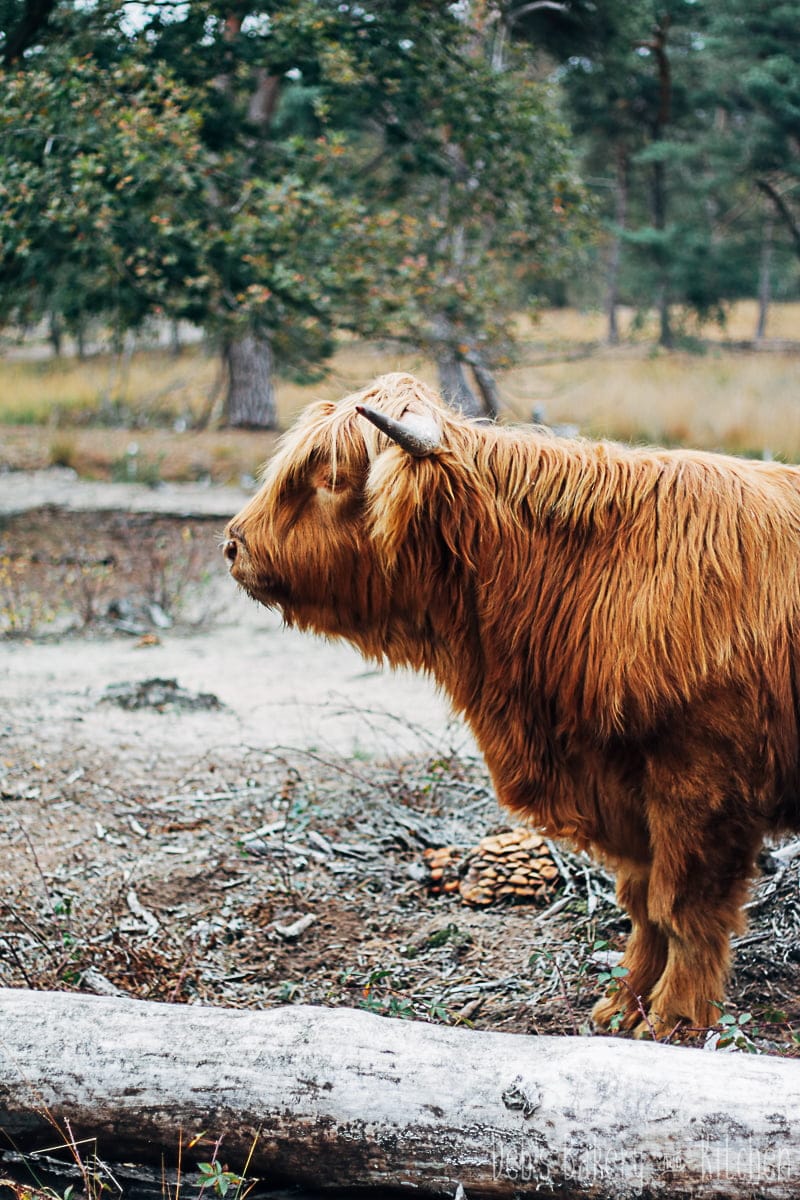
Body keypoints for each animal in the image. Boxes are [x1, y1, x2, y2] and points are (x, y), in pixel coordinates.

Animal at [224, 371, 800, 1038]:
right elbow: (642, 903)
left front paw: (672, 1018)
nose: (233, 545)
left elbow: (684, 908)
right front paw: (620, 1004)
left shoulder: (703, 786)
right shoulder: (625, 789)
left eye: (332, 477)